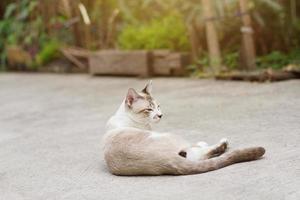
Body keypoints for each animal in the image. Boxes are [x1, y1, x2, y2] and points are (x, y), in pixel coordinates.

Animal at [102, 81, 264, 175]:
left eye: (158, 106)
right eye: (149, 109)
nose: (160, 115)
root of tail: (167, 162)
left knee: (196, 156)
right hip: (171, 137)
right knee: (198, 151)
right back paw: (221, 143)